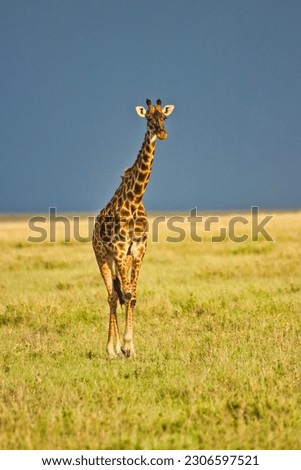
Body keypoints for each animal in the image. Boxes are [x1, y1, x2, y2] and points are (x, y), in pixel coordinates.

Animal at [92, 98, 175, 356]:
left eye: (164, 117)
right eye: (148, 118)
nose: (162, 133)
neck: (135, 198)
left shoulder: (138, 249)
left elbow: (133, 295)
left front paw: (132, 347)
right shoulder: (119, 249)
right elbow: (126, 294)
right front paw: (125, 345)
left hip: (123, 259)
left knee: (118, 294)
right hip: (103, 256)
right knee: (111, 295)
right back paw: (111, 349)